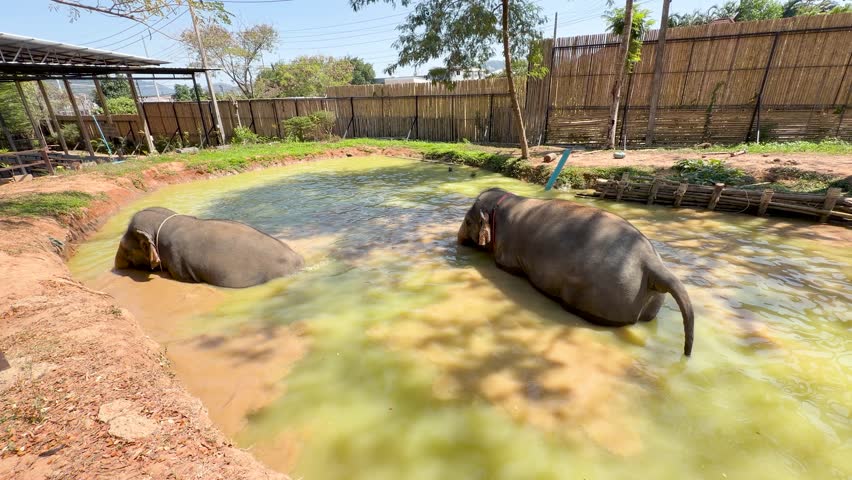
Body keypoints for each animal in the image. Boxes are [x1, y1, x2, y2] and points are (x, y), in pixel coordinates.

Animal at [457, 188, 695, 356]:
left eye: (468, 221)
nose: (459, 242)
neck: (505, 200)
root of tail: (651, 263)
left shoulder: (506, 249)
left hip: (602, 292)